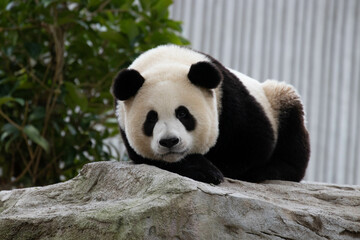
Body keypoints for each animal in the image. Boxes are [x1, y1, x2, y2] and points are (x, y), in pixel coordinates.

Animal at [112, 44, 310, 184]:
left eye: (183, 114)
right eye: (151, 118)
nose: (169, 141)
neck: (165, 60)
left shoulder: (229, 99)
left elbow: (254, 144)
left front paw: (221, 168)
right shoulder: (124, 126)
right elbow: (152, 159)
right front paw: (204, 170)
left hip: (276, 99)